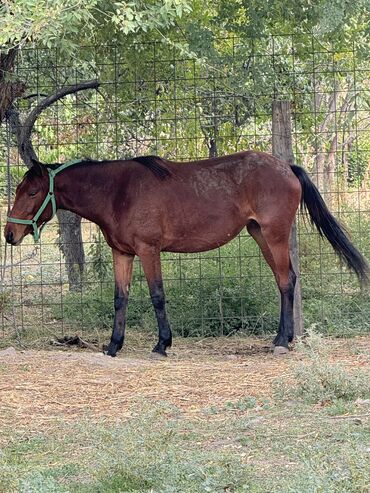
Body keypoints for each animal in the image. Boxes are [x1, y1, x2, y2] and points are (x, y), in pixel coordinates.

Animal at [4, 150, 368, 354]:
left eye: (33, 192)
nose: (10, 234)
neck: (118, 192)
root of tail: (288, 167)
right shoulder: (122, 253)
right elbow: (120, 298)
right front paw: (113, 345)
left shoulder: (149, 250)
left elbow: (157, 296)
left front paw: (162, 344)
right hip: (260, 235)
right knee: (285, 280)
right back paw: (284, 338)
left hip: (274, 236)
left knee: (286, 281)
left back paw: (281, 341)